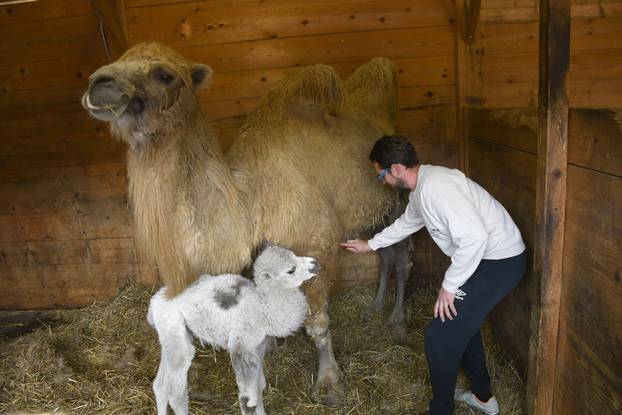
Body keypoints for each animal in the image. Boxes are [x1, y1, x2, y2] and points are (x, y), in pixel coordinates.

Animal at [148, 245, 320, 414]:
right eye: (291, 270)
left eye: (295, 254)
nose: (315, 264)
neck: (263, 306)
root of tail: (154, 302)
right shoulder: (240, 346)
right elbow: (247, 401)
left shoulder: (257, 345)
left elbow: (259, 387)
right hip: (173, 327)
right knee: (176, 394)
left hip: (171, 334)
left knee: (160, 385)